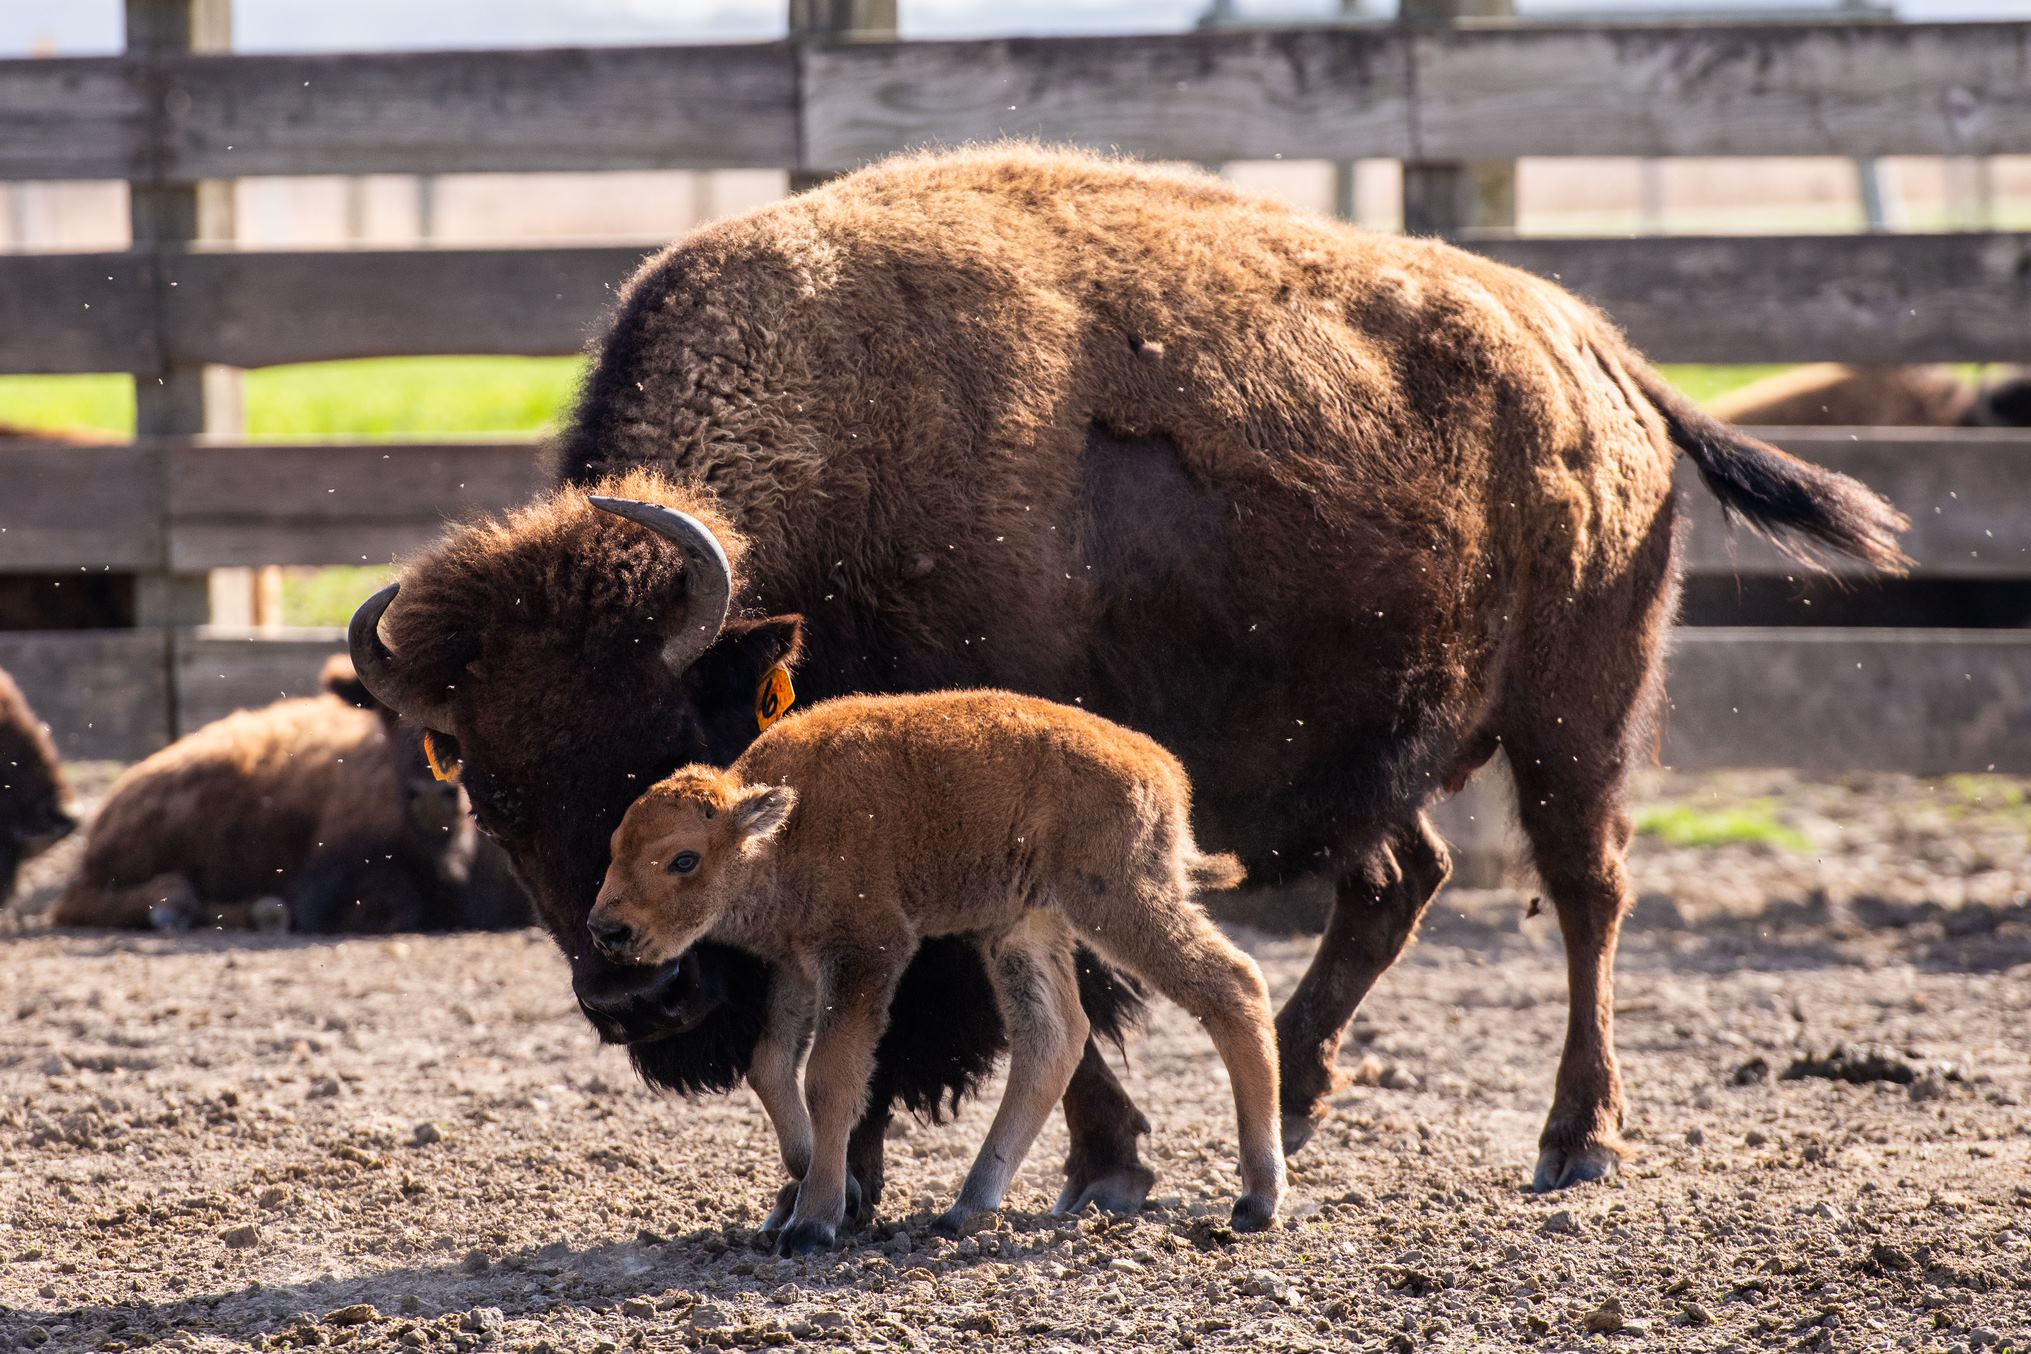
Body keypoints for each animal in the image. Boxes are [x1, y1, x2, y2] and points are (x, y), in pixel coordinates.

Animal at [349, 146, 1906, 1209]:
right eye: (490, 788)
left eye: (665, 729)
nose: (632, 995)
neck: (843, 474)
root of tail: (1598, 355)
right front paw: (836, 1181)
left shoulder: (1025, 819)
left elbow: (1048, 1000)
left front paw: (1098, 1165)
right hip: (1378, 749)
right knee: (1396, 882)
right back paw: (1301, 1093)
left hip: (1575, 714)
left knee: (1584, 896)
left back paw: (1574, 1139)